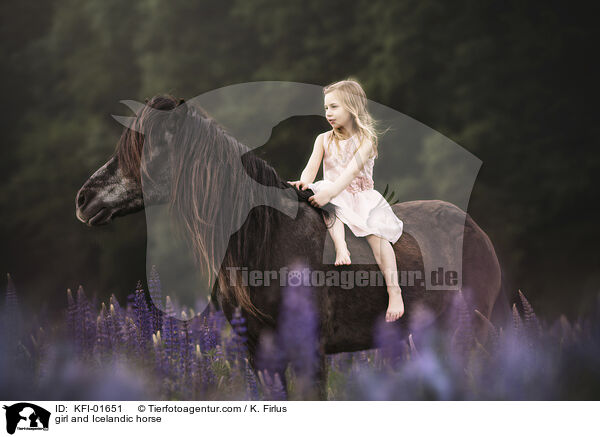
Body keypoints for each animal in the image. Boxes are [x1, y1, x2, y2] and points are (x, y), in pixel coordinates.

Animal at [77, 94, 504, 398]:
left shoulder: (310, 353)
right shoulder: (260, 356)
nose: (83, 199)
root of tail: (477, 231)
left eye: (143, 149)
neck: (267, 238)